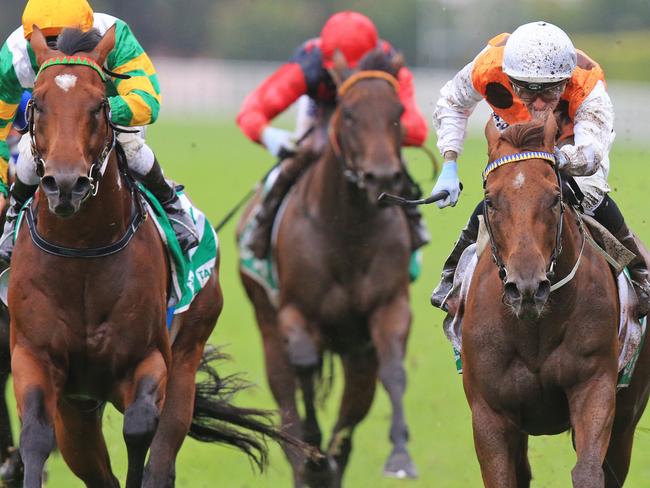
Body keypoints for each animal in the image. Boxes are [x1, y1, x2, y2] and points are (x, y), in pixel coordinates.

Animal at [8, 27, 288, 488]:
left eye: (99, 105)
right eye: (38, 104)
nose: (65, 184)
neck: (81, 250)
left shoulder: (148, 359)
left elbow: (140, 430)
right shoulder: (34, 355)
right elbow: (34, 436)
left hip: (187, 358)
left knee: (162, 452)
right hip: (78, 409)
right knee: (96, 471)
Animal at [238, 51, 416, 486]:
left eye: (399, 111)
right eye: (348, 113)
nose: (382, 176)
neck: (346, 230)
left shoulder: (389, 308)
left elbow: (394, 370)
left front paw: (400, 455)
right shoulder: (294, 313)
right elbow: (305, 369)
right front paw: (314, 453)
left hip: (357, 355)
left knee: (352, 415)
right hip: (267, 326)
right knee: (287, 405)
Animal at [460, 115, 648, 488]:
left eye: (554, 196)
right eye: (491, 200)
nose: (527, 287)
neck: (534, 330)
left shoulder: (595, 385)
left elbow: (588, 472)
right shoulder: (489, 413)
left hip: (626, 420)